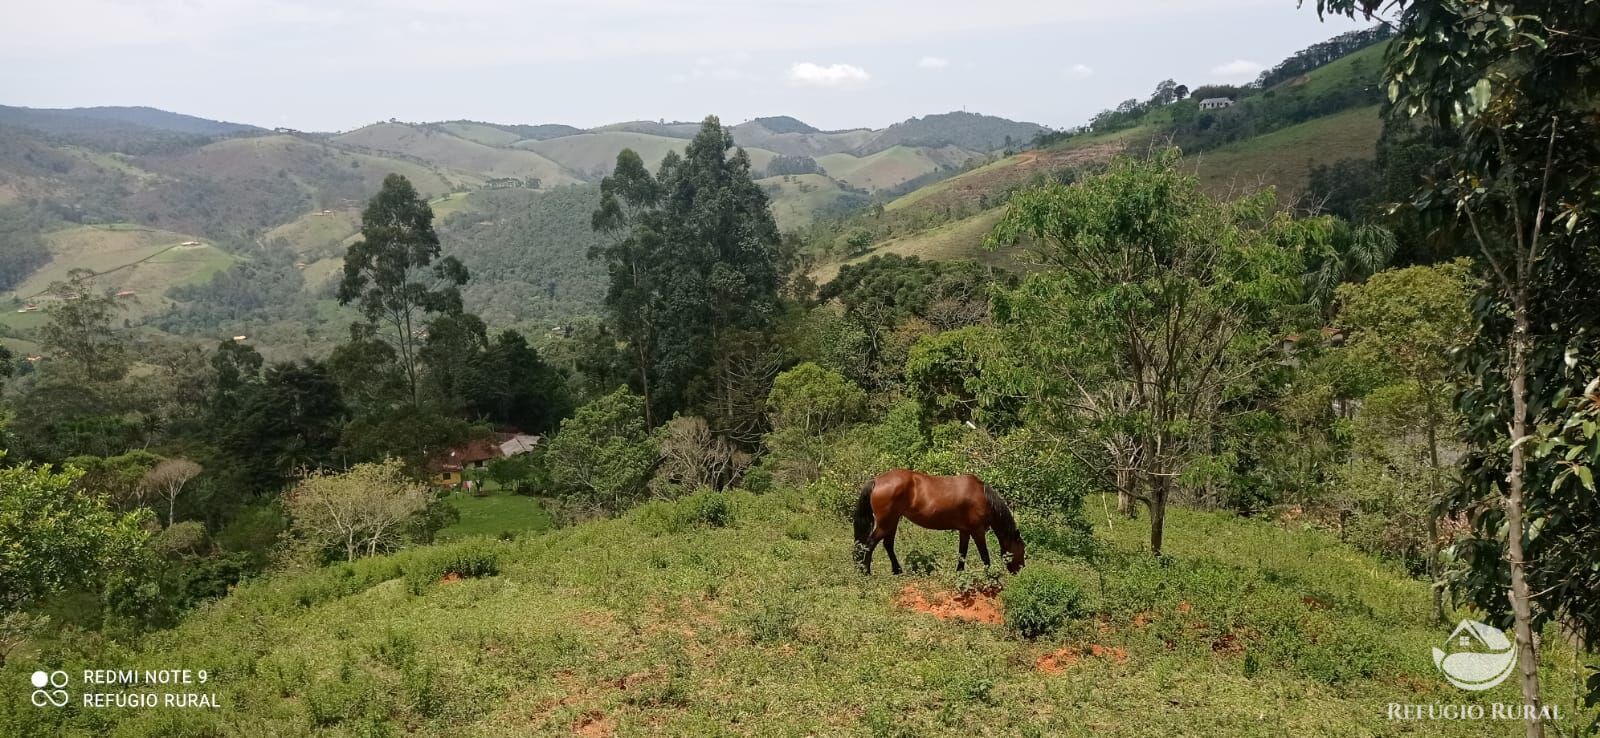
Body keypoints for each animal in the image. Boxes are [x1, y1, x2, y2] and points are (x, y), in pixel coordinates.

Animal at [851, 470, 1024, 576]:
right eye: (1021, 550)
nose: (1019, 570)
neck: (983, 497)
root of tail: (876, 480)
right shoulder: (977, 530)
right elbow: (984, 555)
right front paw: (990, 575)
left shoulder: (965, 531)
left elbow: (962, 553)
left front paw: (959, 572)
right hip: (885, 523)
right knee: (870, 544)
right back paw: (866, 572)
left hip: (892, 521)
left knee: (887, 545)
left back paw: (897, 570)